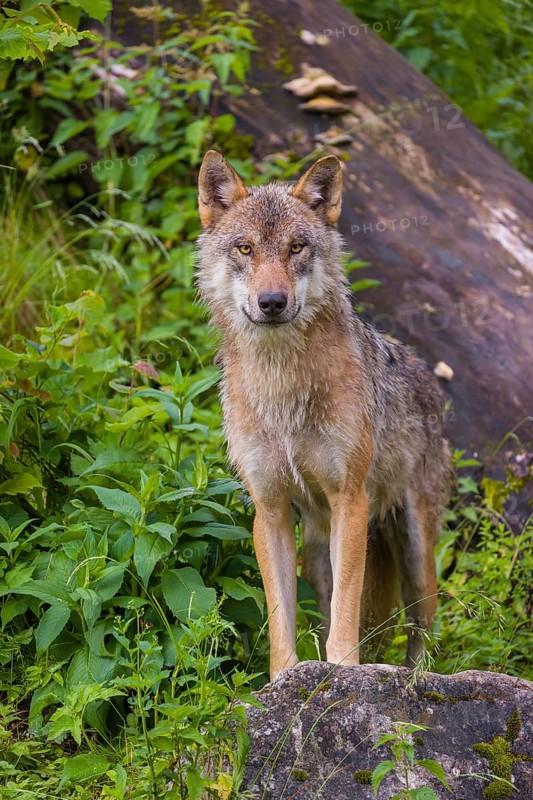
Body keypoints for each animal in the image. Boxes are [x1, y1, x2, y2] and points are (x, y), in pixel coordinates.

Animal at [197, 150, 451, 680]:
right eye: (246, 249)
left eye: (296, 247)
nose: (273, 302)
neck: (282, 388)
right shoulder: (270, 509)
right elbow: (281, 619)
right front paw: (285, 681)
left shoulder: (349, 500)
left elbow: (346, 615)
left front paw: (345, 674)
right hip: (316, 553)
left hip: (416, 555)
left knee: (420, 629)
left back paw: (416, 681)